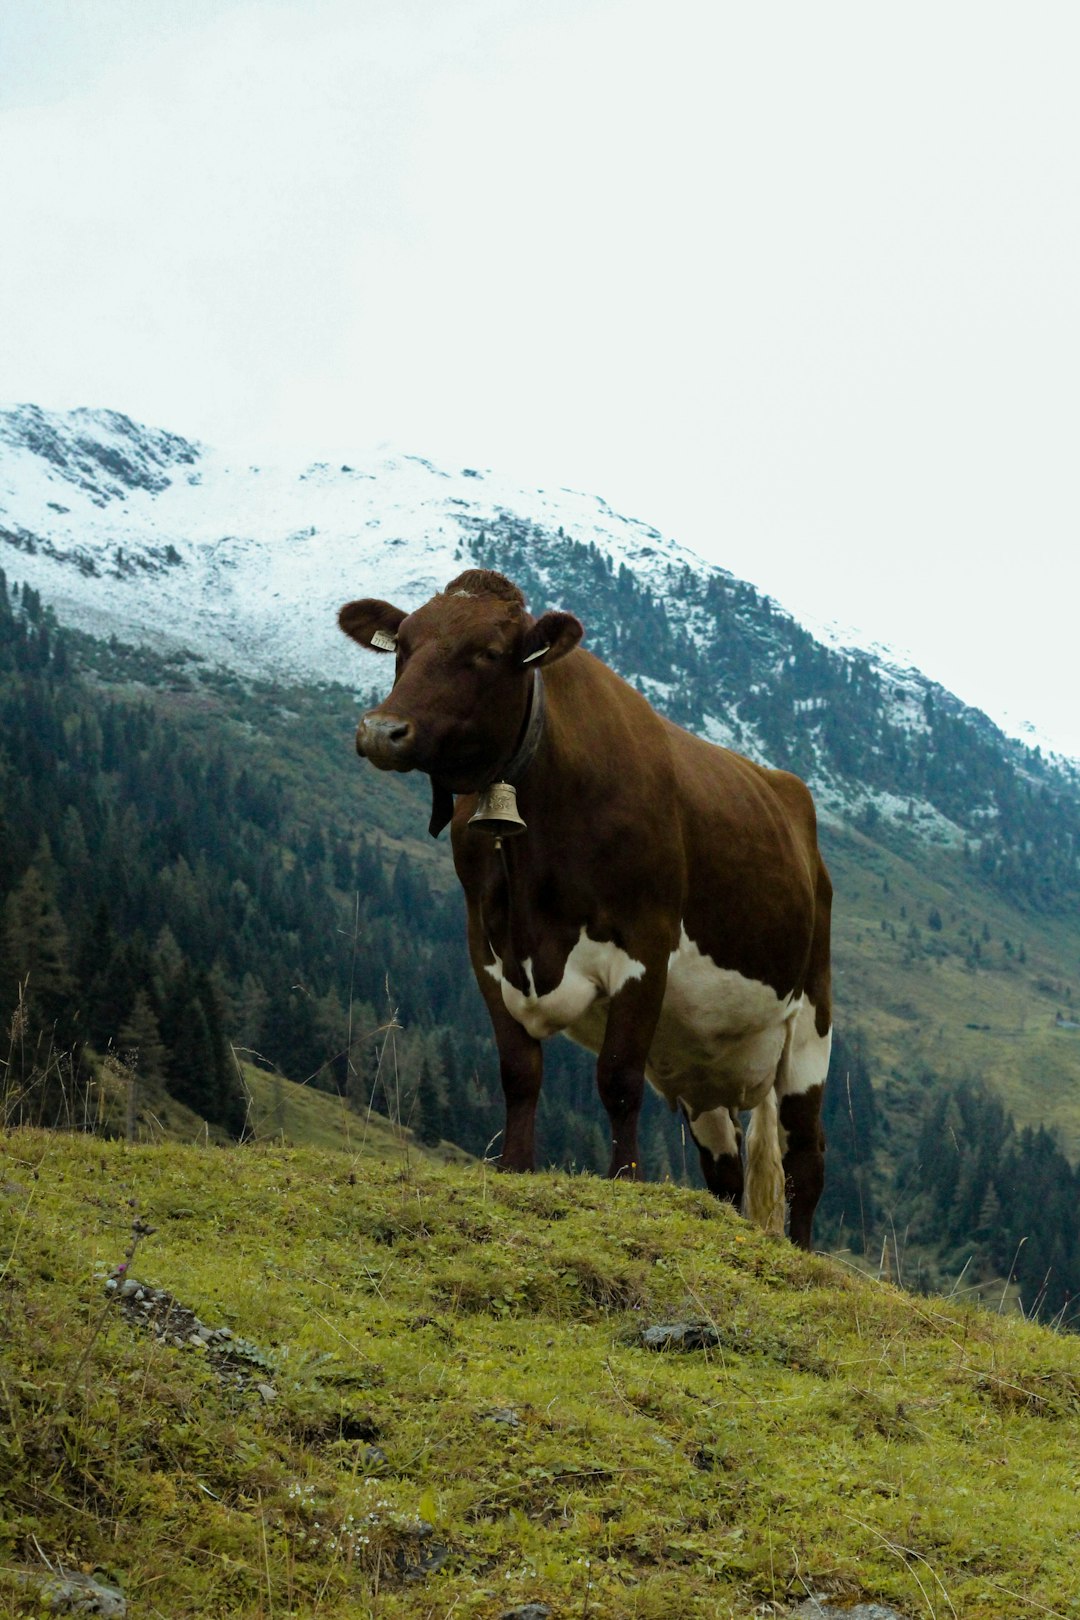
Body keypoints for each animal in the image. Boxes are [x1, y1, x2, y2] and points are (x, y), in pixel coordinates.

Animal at [341, 563, 835, 1244]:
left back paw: (803, 1249)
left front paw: (624, 1180)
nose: (381, 731)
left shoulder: (645, 945)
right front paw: (516, 1167)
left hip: (811, 1020)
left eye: (487, 653)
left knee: (805, 1156)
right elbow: (519, 1072)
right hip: (701, 1058)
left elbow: (618, 1078)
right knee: (726, 1166)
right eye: (404, 646)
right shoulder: (486, 946)